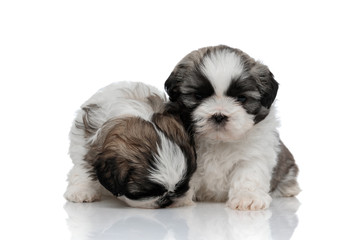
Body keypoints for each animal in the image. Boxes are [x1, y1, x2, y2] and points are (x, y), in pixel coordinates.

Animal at [63, 81, 195, 208]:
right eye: (143, 193)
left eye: (182, 185)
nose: (168, 198)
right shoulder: (84, 145)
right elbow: (84, 168)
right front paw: (81, 190)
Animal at [165, 45, 300, 210]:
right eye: (198, 96)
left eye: (241, 98)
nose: (219, 115)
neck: (220, 141)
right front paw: (181, 198)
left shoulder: (254, 154)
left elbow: (248, 174)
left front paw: (248, 197)